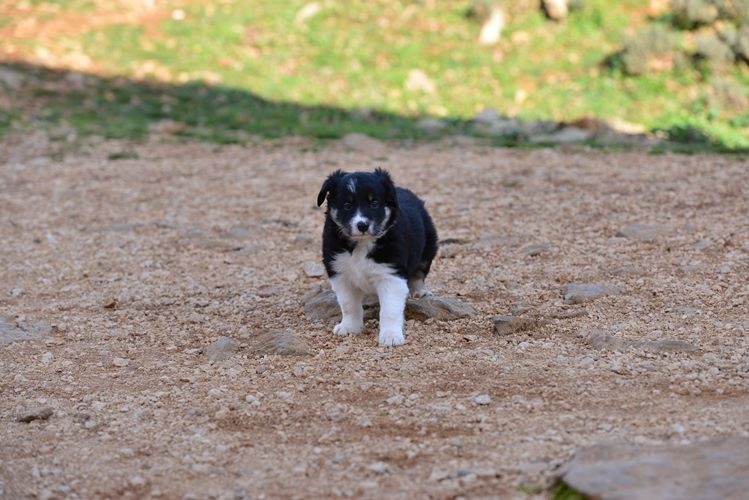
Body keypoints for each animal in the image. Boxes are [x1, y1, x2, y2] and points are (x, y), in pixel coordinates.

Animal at [318, 167, 438, 344]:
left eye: (374, 203)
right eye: (347, 205)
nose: (362, 225)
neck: (361, 244)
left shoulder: (391, 275)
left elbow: (390, 310)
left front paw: (391, 336)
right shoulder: (340, 274)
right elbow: (349, 305)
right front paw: (349, 327)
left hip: (428, 247)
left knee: (419, 273)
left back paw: (420, 292)